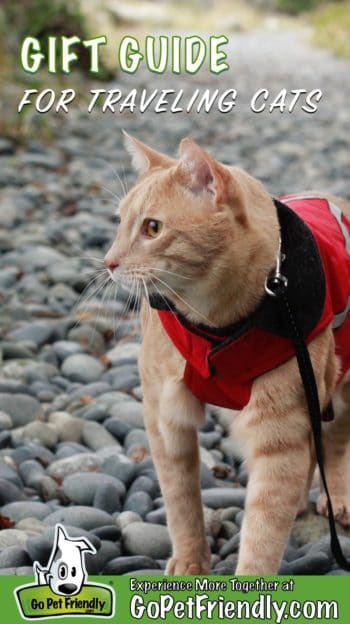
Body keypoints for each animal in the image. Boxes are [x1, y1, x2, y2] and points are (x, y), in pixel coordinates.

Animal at [103, 135, 350, 576]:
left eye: (152, 228)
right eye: (119, 222)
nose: (108, 262)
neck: (215, 324)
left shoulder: (279, 433)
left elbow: (263, 530)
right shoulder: (164, 415)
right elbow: (180, 499)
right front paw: (190, 560)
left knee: (333, 447)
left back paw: (335, 497)